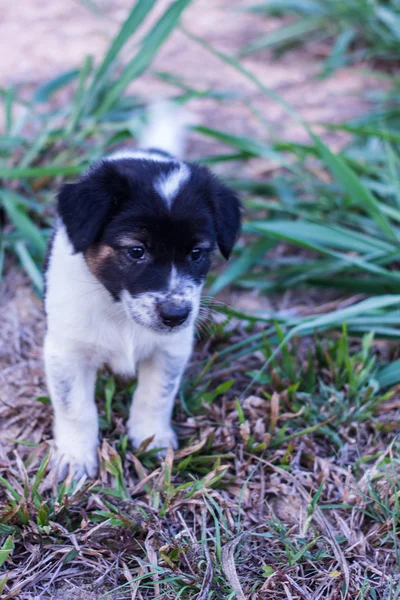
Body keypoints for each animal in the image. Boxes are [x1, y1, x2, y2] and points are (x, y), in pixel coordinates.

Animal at [43, 103, 241, 478]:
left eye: (197, 253)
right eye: (137, 251)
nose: (176, 316)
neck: (119, 312)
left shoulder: (171, 348)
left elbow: (155, 395)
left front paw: (153, 439)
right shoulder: (67, 351)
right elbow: (75, 408)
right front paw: (75, 459)